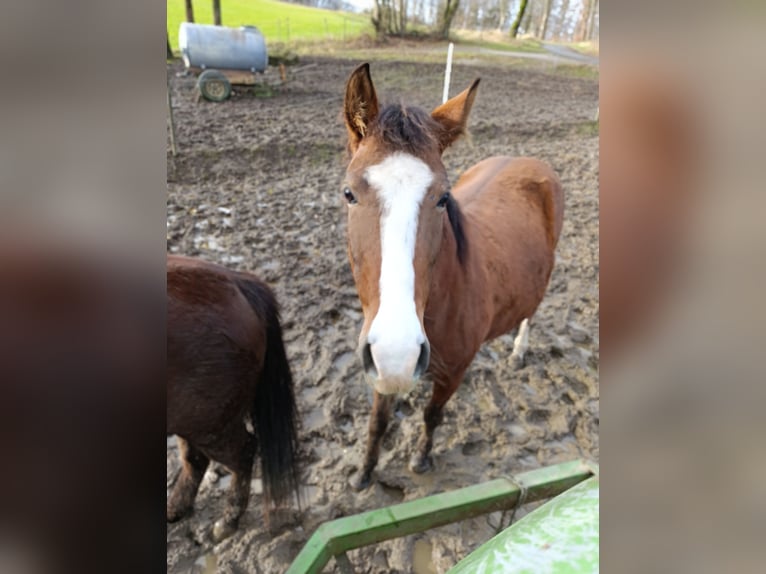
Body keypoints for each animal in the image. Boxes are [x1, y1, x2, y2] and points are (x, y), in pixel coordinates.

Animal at [341, 63, 564, 489]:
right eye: (349, 193)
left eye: (443, 198)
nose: (398, 352)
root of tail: (528, 160)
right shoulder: (375, 360)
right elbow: (377, 422)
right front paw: (363, 473)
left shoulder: (454, 372)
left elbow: (432, 415)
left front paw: (421, 459)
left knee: (531, 313)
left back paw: (518, 351)